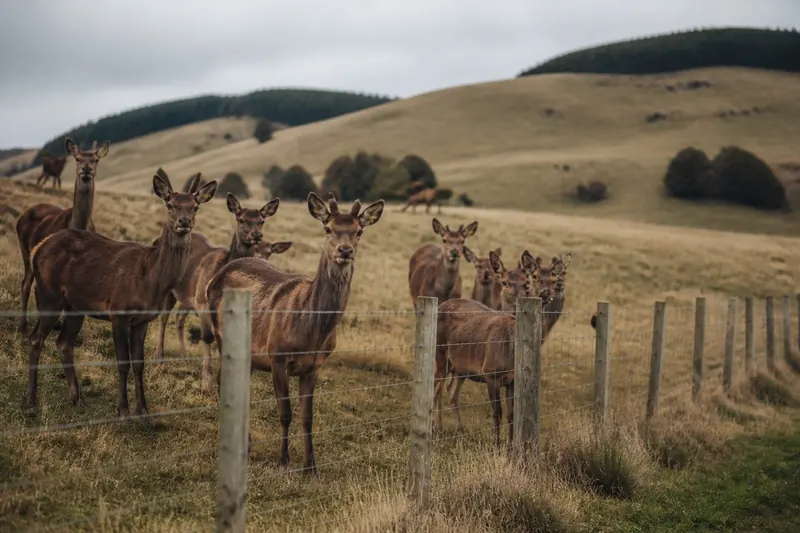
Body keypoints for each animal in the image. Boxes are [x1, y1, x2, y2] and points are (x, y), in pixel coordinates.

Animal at [16, 137, 110, 334]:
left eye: (96, 159)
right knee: (26, 283)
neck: (78, 225)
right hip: (25, 249)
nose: (86, 169)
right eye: (77, 159)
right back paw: (23, 326)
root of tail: (21, 216)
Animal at [25, 170, 217, 418]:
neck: (150, 279)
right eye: (170, 204)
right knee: (36, 338)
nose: (184, 221)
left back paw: (79, 400)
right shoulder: (119, 312)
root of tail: (37, 248)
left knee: (64, 342)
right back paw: (31, 399)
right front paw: (123, 410)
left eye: (195, 207)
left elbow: (139, 363)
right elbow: (123, 363)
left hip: (74, 306)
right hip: (49, 293)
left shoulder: (142, 320)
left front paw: (143, 411)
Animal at [203, 192, 385, 475]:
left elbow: (307, 417)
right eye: (328, 228)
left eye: (359, 231)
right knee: (224, 382)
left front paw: (311, 466)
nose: (345, 250)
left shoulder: (314, 366)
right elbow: (285, 412)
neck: (312, 330)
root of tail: (215, 278)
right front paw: (284, 461)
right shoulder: (277, 356)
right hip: (223, 337)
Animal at [434, 250, 554, 452]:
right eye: (504, 282)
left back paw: (459, 431)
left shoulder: (512, 380)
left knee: (452, 391)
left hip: (460, 369)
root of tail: (441, 305)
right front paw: (497, 446)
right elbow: (497, 412)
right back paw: (438, 429)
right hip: (439, 354)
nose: (547, 292)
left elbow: (511, 414)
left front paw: (511, 448)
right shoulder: (490, 372)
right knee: (437, 388)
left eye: (527, 282)